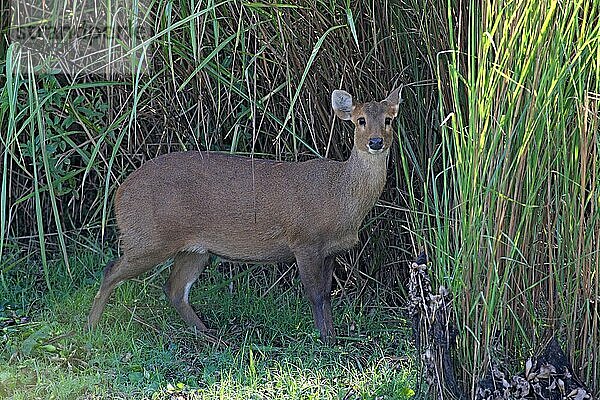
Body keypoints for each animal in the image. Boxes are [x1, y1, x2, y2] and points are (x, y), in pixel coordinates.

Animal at [86, 87, 400, 344]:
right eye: (360, 120)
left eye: (388, 119)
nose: (375, 142)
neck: (339, 197)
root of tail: (119, 193)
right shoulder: (304, 241)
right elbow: (315, 294)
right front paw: (324, 340)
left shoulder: (331, 250)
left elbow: (326, 295)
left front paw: (333, 337)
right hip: (148, 238)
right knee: (111, 270)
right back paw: (91, 328)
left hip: (194, 249)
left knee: (174, 289)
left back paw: (209, 334)